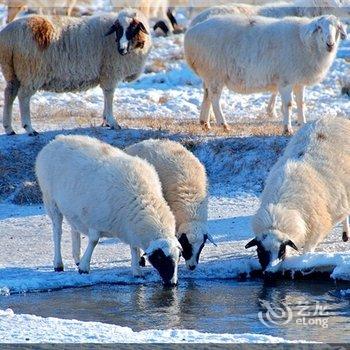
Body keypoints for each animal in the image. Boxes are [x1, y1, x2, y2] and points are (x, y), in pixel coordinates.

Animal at [0, 9, 150, 135]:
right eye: (118, 29)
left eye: (133, 28)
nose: (121, 49)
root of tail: (8, 35)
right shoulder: (110, 71)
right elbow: (109, 95)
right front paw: (112, 122)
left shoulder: (106, 73)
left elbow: (106, 95)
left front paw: (106, 120)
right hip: (32, 71)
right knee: (23, 97)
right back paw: (29, 128)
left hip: (11, 70)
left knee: (9, 94)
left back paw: (9, 129)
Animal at [36, 135, 182, 286]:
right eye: (160, 258)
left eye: (178, 257)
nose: (172, 283)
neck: (143, 198)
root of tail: (55, 141)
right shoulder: (95, 218)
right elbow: (94, 241)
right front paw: (84, 267)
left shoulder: (130, 225)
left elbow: (134, 247)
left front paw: (137, 271)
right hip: (50, 200)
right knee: (57, 232)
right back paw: (58, 264)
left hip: (73, 208)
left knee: (74, 229)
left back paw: (77, 257)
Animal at [186, 14, 348, 133]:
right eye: (319, 28)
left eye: (338, 28)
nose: (330, 44)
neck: (307, 43)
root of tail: (191, 33)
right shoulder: (286, 80)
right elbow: (288, 104)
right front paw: (287, 129)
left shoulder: (298, 81)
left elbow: (301, 103)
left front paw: (303, 123)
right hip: (215, 73)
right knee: (215, 98)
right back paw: (223, 124)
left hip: (208, 74)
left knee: (206, 94)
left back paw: (205, 123)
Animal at [246, 117, 350, 274]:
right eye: (260, 251)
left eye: (282, 251)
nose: (270, 272)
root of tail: (331, 117)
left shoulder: (316, 229)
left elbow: (307, 251)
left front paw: (305, 261)